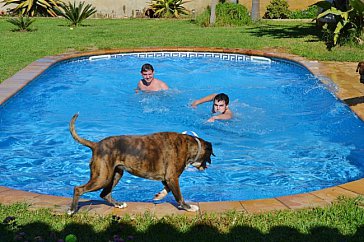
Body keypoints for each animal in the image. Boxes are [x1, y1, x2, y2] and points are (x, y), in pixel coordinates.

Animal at [68, 113, 213, 214]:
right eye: (209, 156)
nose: (208, 165)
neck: (190, 145)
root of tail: (96, 145)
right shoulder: (172, 177)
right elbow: (178, 195)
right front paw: (188, 207)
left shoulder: (168, 178)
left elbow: (167, 189)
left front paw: (159, 195)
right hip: (102, 178)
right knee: (79, 189)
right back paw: (72, 210)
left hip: (115, 175)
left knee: (104, 194)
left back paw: (118, 204)